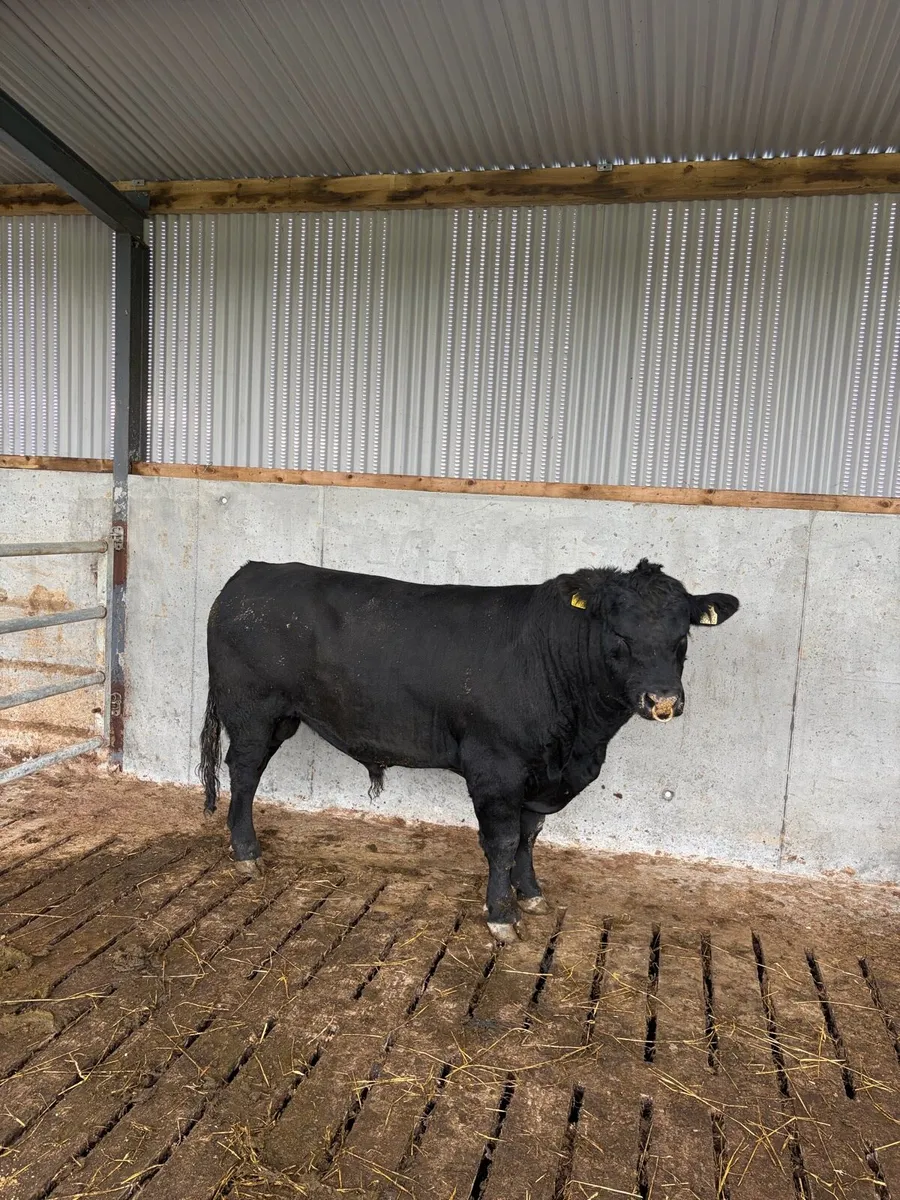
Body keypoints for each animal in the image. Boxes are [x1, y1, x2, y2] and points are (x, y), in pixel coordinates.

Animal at [199, 557, 739, 940]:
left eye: (683, 636)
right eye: (619, 633)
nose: (662, 700)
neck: (581, 741)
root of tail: (249, 573)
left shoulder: (539, 776)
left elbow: (528, 837)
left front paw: (531, 894)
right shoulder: (496, 768)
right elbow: (501, 841)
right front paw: (501, 914)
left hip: (278, 718)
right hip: (252, 712)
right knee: (243, 774)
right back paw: (246, 853)